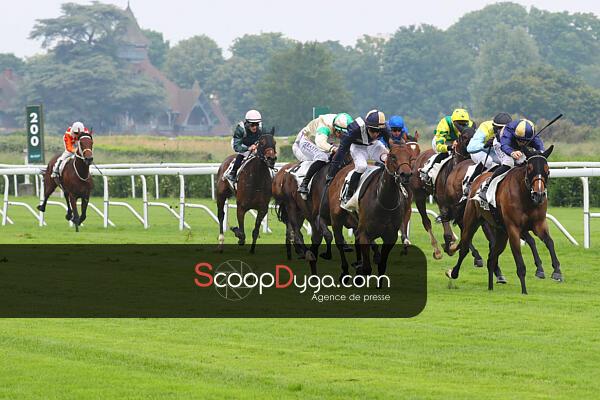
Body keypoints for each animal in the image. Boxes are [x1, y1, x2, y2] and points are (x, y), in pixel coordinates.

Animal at [328, 143, 413, 279]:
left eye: (410, 157)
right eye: (393, 156)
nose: (406, 175)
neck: (384, 201)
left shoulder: (390, 237)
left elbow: (382, 267)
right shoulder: (365, 234)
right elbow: (367, 268)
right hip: (336, 219)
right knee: (339, 241)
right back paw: (345, 271)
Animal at [446, 145, 562, 294]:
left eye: (547, 169)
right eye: (530, 168)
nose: (539, 194)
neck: (526, 197)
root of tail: (477, 179)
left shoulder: (539, 224)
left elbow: (549, 242)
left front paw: (556, 271)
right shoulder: (514, 229)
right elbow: (520, 261)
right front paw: (524, 291)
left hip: (501, 233)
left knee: (491, 257)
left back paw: (491, 286)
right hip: (471, 222)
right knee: (465, 247)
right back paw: (454, 272)